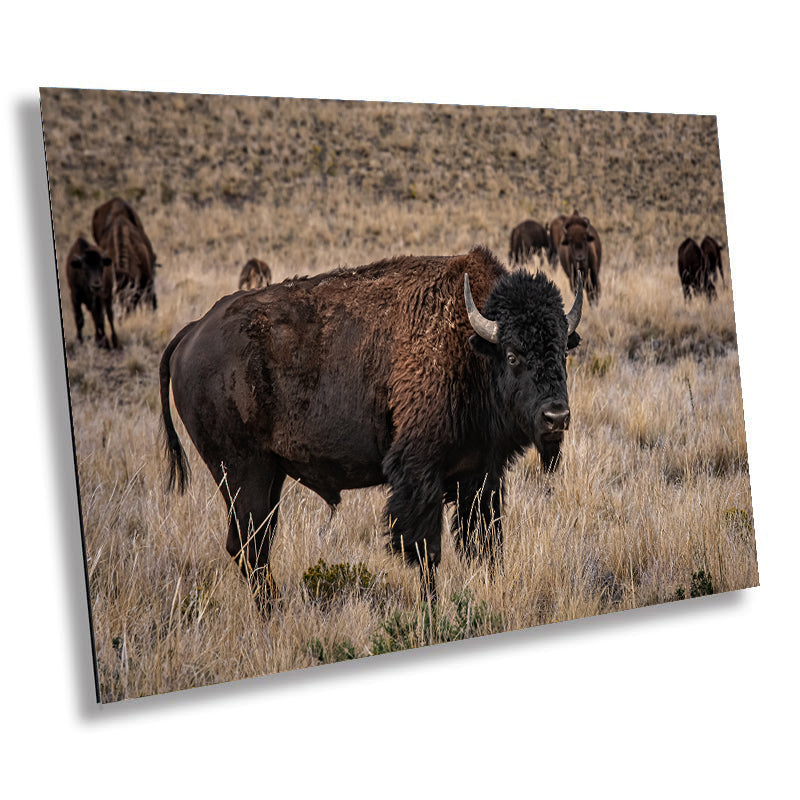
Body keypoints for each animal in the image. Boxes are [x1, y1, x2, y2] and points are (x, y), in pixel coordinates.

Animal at [161, 244, 580, 612]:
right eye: (512, 355)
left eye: (563, 350)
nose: (556, 417)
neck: (470, 344)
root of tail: (193, 331)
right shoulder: (419, 473)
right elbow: (426, 551)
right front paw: (432, 610)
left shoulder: (481, 475)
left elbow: (486, 545)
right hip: (241, 472)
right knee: (247, 546)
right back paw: (272, 614)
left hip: (268, 476)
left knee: (256, 544)